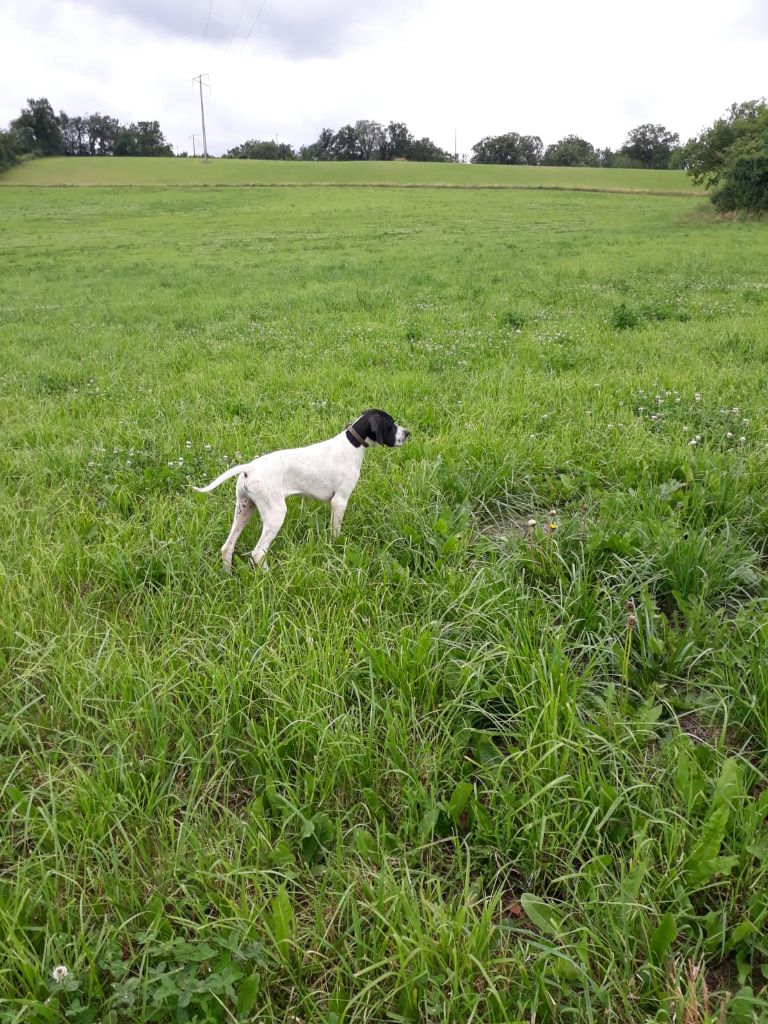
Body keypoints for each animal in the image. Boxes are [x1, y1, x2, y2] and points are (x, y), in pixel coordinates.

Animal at [192, 407, 409, 569]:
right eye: (391, 425)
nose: (408, 433)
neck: (352, 445)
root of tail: (250, 468)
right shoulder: (339, 501)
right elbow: (335, 533)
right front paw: (336, 548)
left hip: (244, 509)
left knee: (227, 547)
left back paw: (227, 575)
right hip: (275, 514)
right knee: (257, 553)